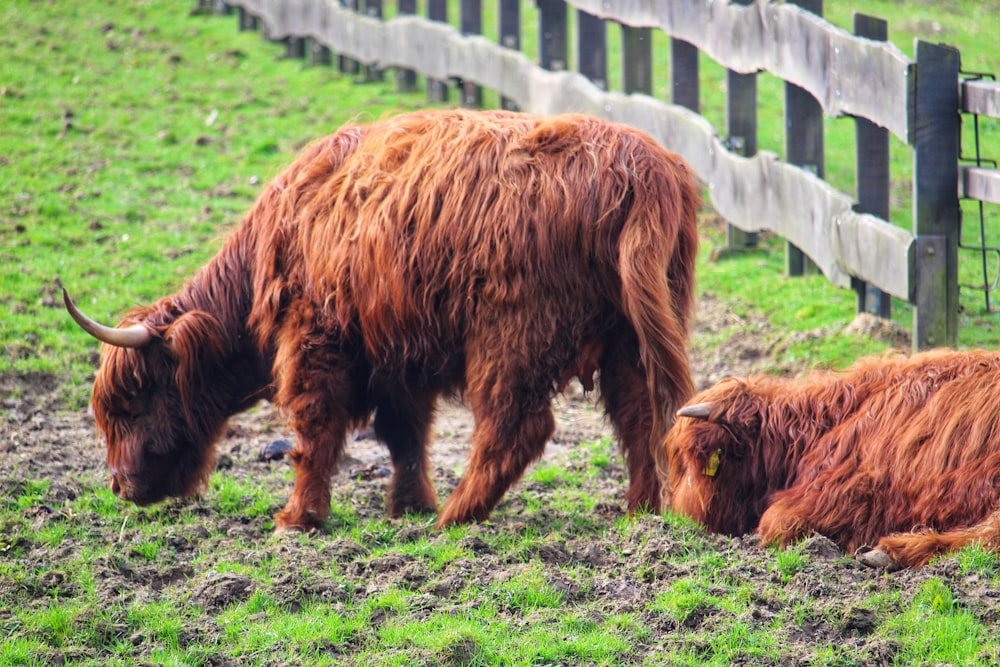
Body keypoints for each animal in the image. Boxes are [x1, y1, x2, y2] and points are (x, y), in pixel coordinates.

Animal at [64, 109, 704, 532]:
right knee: (640, 417)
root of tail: (642, 164)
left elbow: (314, 431)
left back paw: (455, 518)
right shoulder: (398, 354)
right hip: (632, 336)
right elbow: (404, 434)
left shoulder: (316, 337)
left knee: (515, 426)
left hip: (510, 337)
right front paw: (407, 505)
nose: (119, 485)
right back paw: (640, 511)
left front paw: (298, 518)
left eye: (133, 400)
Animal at [664, 350, 1000, 568]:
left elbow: (776, 522)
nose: (676, 515)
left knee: (989, 535)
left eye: (685, 465)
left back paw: (894, 551)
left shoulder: (850, 490)